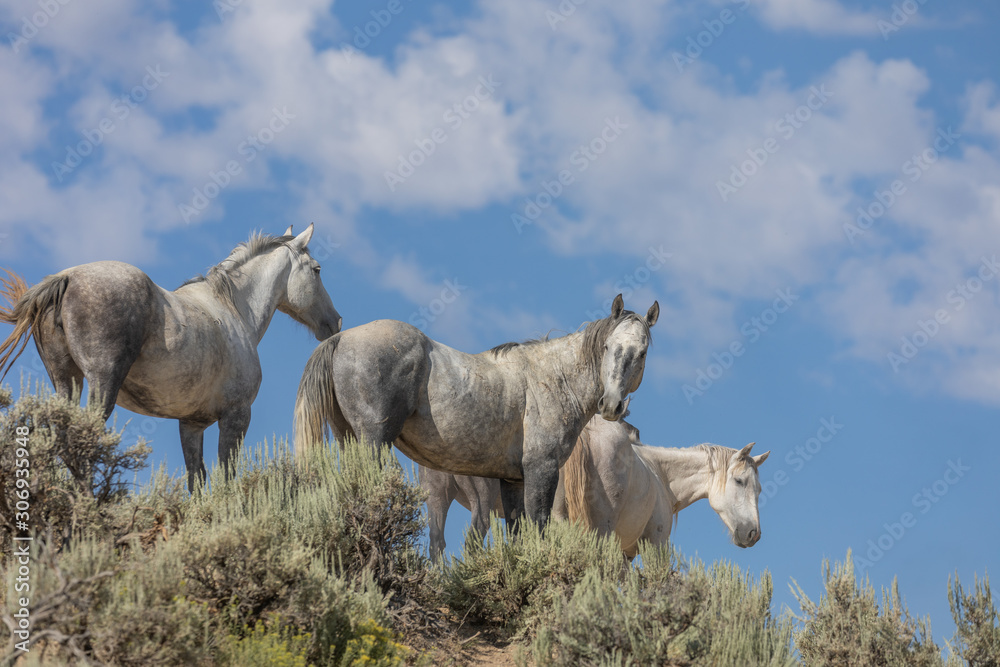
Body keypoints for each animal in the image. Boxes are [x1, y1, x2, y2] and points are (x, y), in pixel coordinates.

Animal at [0, 224, 342, 490]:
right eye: (317, 270)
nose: (335, 322)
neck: (234, 310)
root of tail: (68, 277)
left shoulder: (191, 424)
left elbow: (197, 479)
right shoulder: (236, 416)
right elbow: (226, 475)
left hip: (66, 382)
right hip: (102, 384)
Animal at [294, 294, 656, 528]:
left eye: (642, 353)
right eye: (607, 347)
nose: (611, 405)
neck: (553, 378)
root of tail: (342, 339)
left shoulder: (513, 479)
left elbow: (518, 531)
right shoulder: (542, 471)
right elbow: (538, 526)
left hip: (348, 437)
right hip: (373, 440)